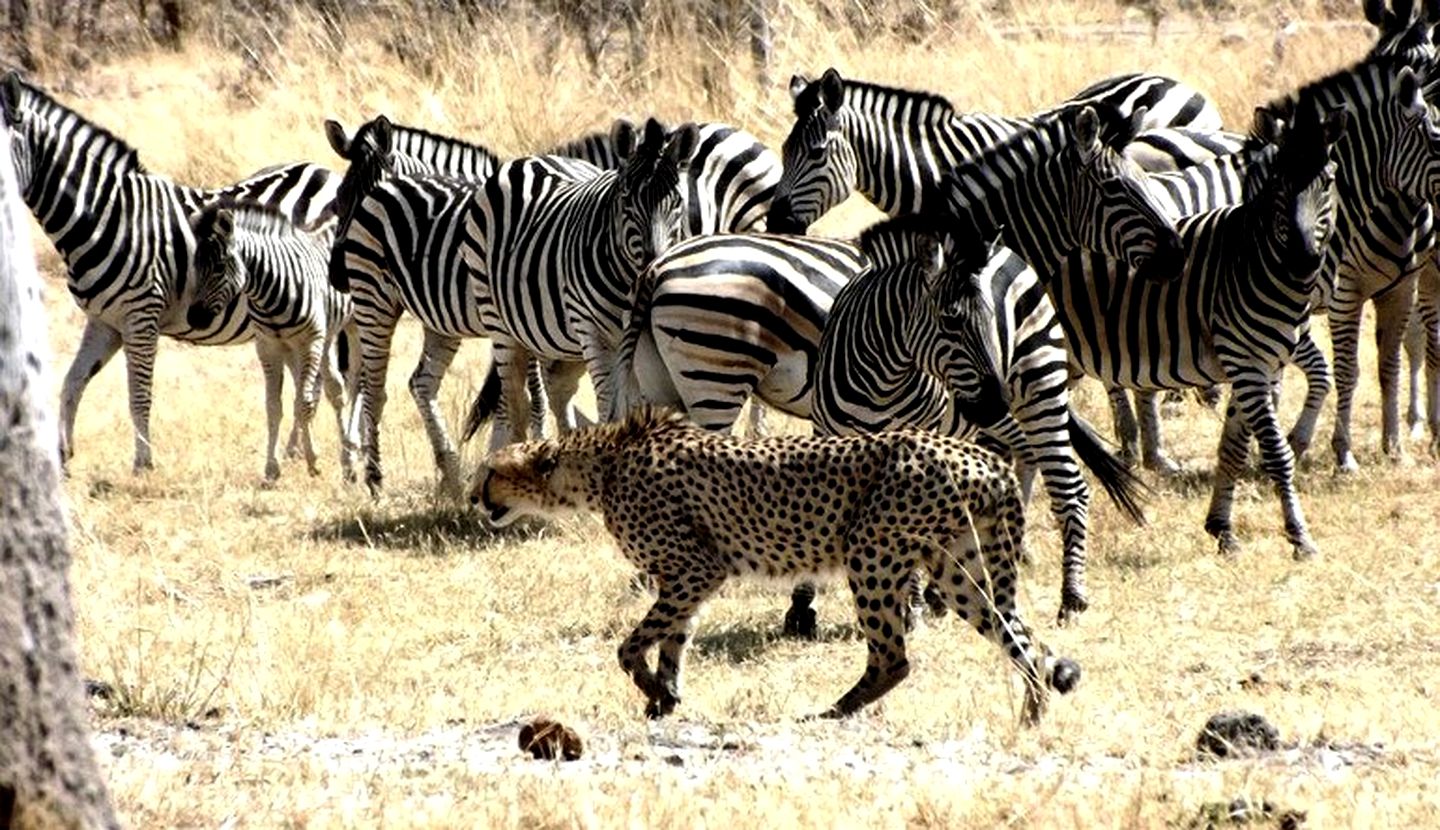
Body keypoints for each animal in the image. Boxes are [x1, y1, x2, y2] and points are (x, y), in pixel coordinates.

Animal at [1, 71, 336, 472]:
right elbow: (72, 381)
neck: (104, 217)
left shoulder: (141, 315)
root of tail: (327, 172)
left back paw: (298, 452)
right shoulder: (104, 321)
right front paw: (62, 457)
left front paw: (143, 463)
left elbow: (139, 395)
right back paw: (294, 451)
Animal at [184, 203, 358, 484]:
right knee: (335, 389)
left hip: (350, 326)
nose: (194, 318)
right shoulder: (269, 347)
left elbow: (302, 403)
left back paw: (353, 455)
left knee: (353, 384)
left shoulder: (309, 342)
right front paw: (272, 468)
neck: (269, 293)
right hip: (324, 336)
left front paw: (313, 462)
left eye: (220, 267)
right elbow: (274, 407)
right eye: (195, 267)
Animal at [455, 118, 691, 440]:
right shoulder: (591, 330)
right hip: (501, 322)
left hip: (554, 338)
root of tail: (532, 158)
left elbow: (637, 401)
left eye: (677, 202)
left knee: (557, 390)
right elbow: (610, 403)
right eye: (627, 199)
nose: (651, 265)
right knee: (517, 402)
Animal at [472, 406, 1082, 723]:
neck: (603, 465)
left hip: (871, 552)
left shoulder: (694, 568)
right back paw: (1032, 715)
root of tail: (983, 456)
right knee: (1026, 640)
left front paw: (653, 692)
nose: (476, 499)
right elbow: (673, 639)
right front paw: (664, 699)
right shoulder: (689, 578)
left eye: (490, 472)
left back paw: (835, 711)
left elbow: (630, 645)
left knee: (895, 658)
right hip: (960, 571)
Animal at [812, 217, 1146, 625]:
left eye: (990, 321)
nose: (995, 401)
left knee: (1070, 489)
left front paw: (910, 608)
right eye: (950, 322)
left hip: (1041, 386)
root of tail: (999, 248)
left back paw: (1071, 597)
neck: (881, 381)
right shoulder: (830, 438)